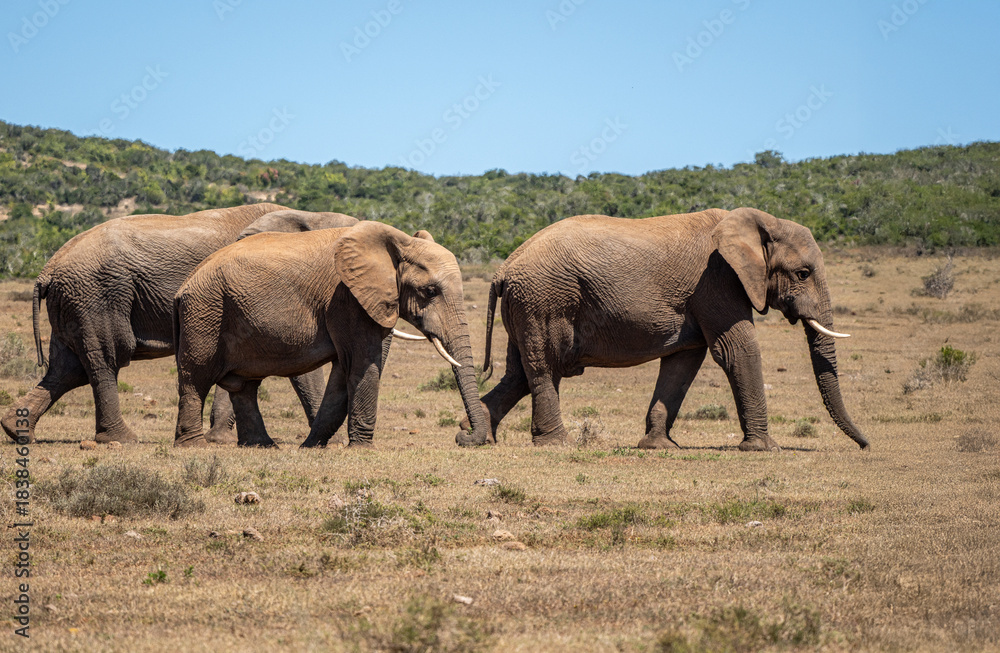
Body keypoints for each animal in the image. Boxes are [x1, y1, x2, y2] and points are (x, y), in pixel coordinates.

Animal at [0, 204, 357, 445]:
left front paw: (219, 439)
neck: (305, 215)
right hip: (96, 296)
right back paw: (122, 440)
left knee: (65, 370)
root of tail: (47, 270)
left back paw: (18, 432)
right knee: (105, 360)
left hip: (73, 303)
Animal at [172, 221, 490, 449]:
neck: (398, 242)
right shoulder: (347, 299)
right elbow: (361, 364)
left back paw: (262, 446)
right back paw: (193, 446)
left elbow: (343, 373)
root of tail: (184, 285)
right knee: (195, 378)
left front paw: (311, 446)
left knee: (244, 387)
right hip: (205, 312)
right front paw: (361, 449)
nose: (463, 436)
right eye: (430, 291)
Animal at [463, 207, 868, 452]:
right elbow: (736, 350)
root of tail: (504, 267)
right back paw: (557, 443)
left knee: (518, 372)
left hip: (526, 305)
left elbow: (683, 361)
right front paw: (764, 449)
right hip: (545, 300)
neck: (758, 222)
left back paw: (473, 435)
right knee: (544, 367)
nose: (865, 445)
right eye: (802, 274)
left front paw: (658, 446)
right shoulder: (718, 281)